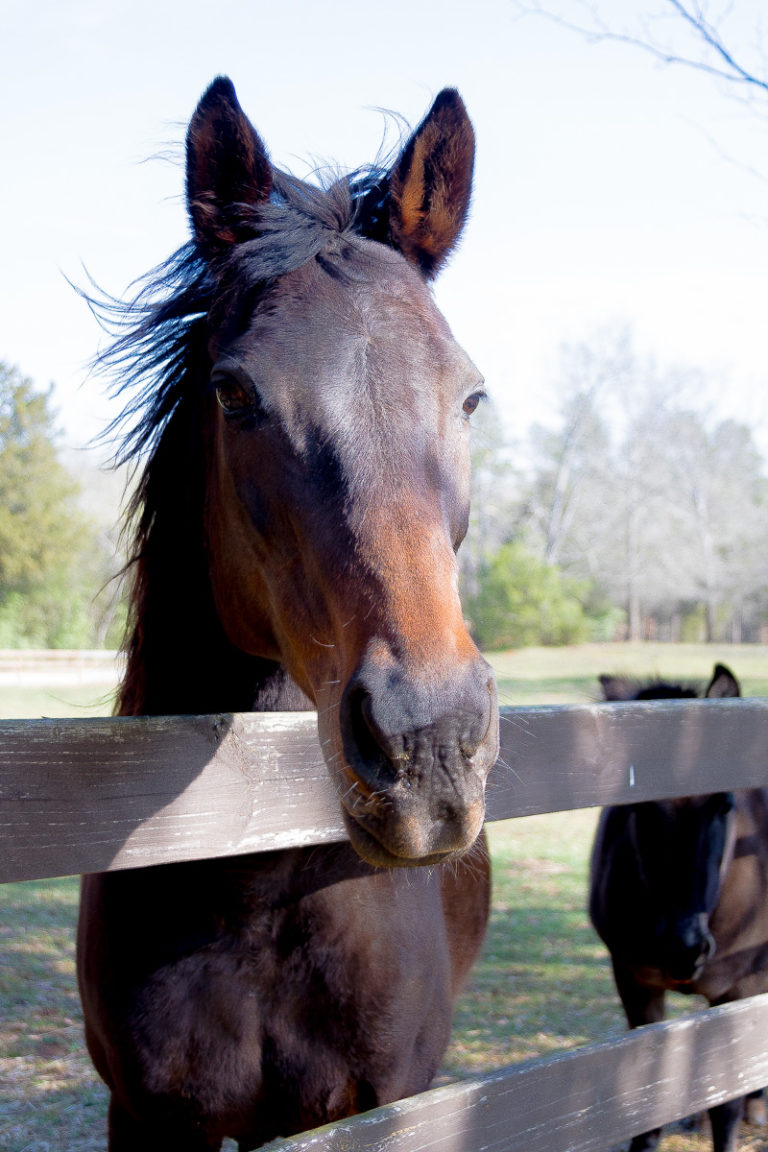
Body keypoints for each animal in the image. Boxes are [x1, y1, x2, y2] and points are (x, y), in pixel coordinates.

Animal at [76, 81, 499, 1152]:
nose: (429, 744)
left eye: (470, 396)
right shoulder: (146, 1116)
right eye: (234, 394)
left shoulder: (380, 1104)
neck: (249, 878)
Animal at [594, 663, 764, 1152]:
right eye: (638, 807)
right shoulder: (634, 984)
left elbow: (726, 1105)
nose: (683, 948)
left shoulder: (740, 990)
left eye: (724, 804)